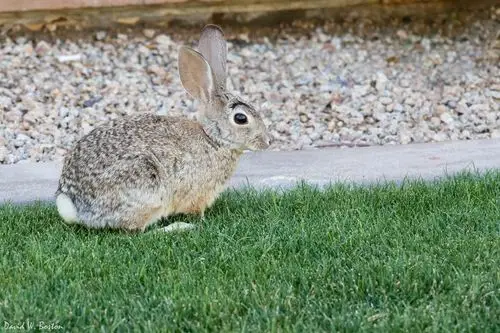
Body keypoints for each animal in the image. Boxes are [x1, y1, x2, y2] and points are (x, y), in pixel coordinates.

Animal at [55, 24, 270, 232]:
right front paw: (199, 221)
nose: (268, 142)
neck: (213, 139)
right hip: (147, 190)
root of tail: (73, 205)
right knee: (137, 231)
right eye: (241, 118)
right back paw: (178, 227)